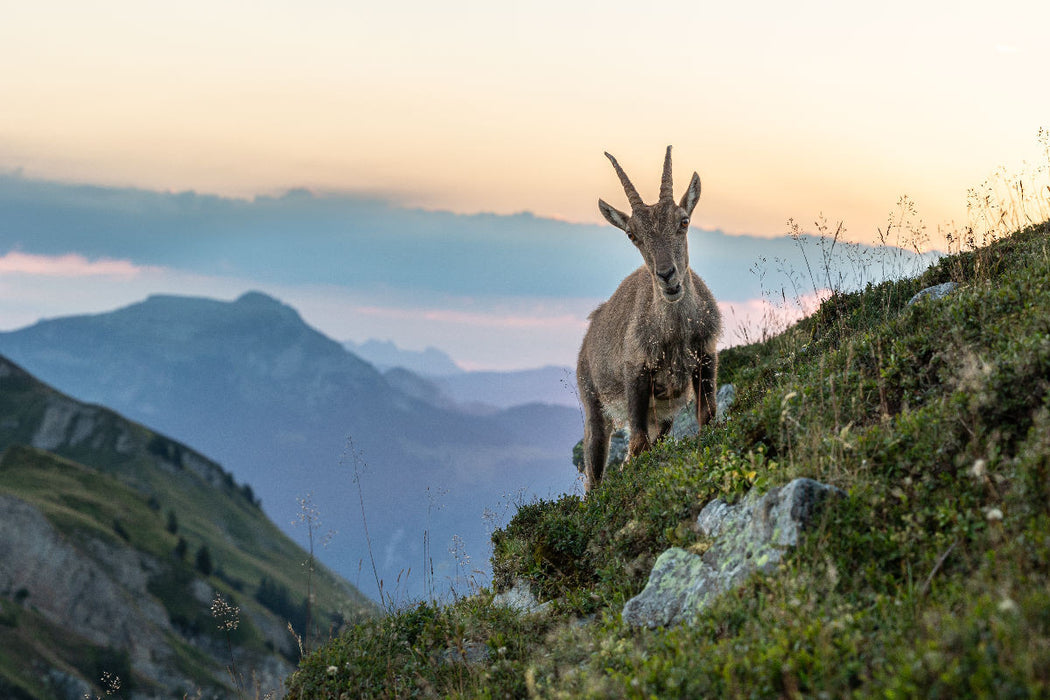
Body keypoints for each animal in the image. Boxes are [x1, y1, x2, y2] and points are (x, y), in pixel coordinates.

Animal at [575, 144, 722, 491]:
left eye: (684, 221)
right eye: (632, 235)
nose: (667, 276)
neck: (676, 332)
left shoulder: (706, 356)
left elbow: (707, 417)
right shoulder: (636, 375)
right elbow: (638, 446)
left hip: (662, 416)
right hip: (594, 405)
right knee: (595, 473)